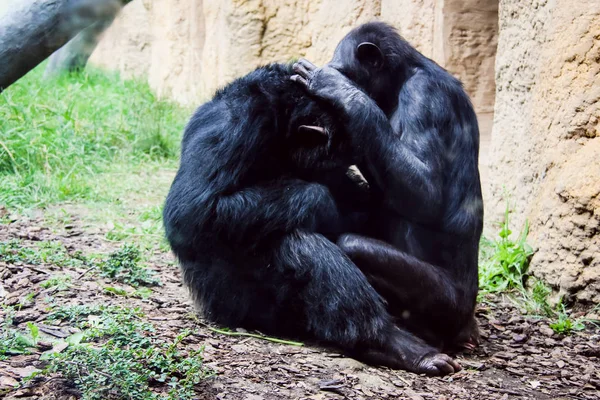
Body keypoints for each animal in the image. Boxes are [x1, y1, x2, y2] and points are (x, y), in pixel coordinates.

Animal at [161, 64, 460, 376]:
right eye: (338, 161)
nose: (340, 174)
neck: (281, 125)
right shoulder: (235, 123)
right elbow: (194, 209)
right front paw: (326, 205)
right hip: (234, 303)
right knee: (297, 243)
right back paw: (393, 344)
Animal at [292, 22, 486, 360]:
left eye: (342, 69)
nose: (332, 71)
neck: (399, 83)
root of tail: (467, 317)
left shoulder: (424, 97)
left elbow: (427, 193)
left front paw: (339, 90)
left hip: (448, 301)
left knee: (356, 245)